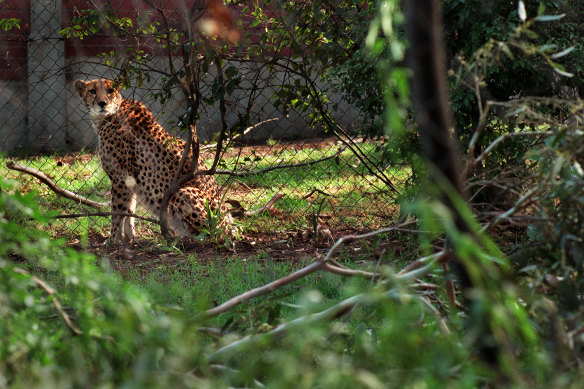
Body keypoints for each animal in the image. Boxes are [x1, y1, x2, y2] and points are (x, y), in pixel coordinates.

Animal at [74, 78, 234, 242]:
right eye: (92, 91)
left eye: (110, 90)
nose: (102, 103)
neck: (108, 117)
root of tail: (230, 228)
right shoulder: (129, 180)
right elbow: (129, 209)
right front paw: (128, 239)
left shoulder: (120, 178)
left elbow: (117, 212)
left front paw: (112, 240)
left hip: (183, 192)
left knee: (207, 236)